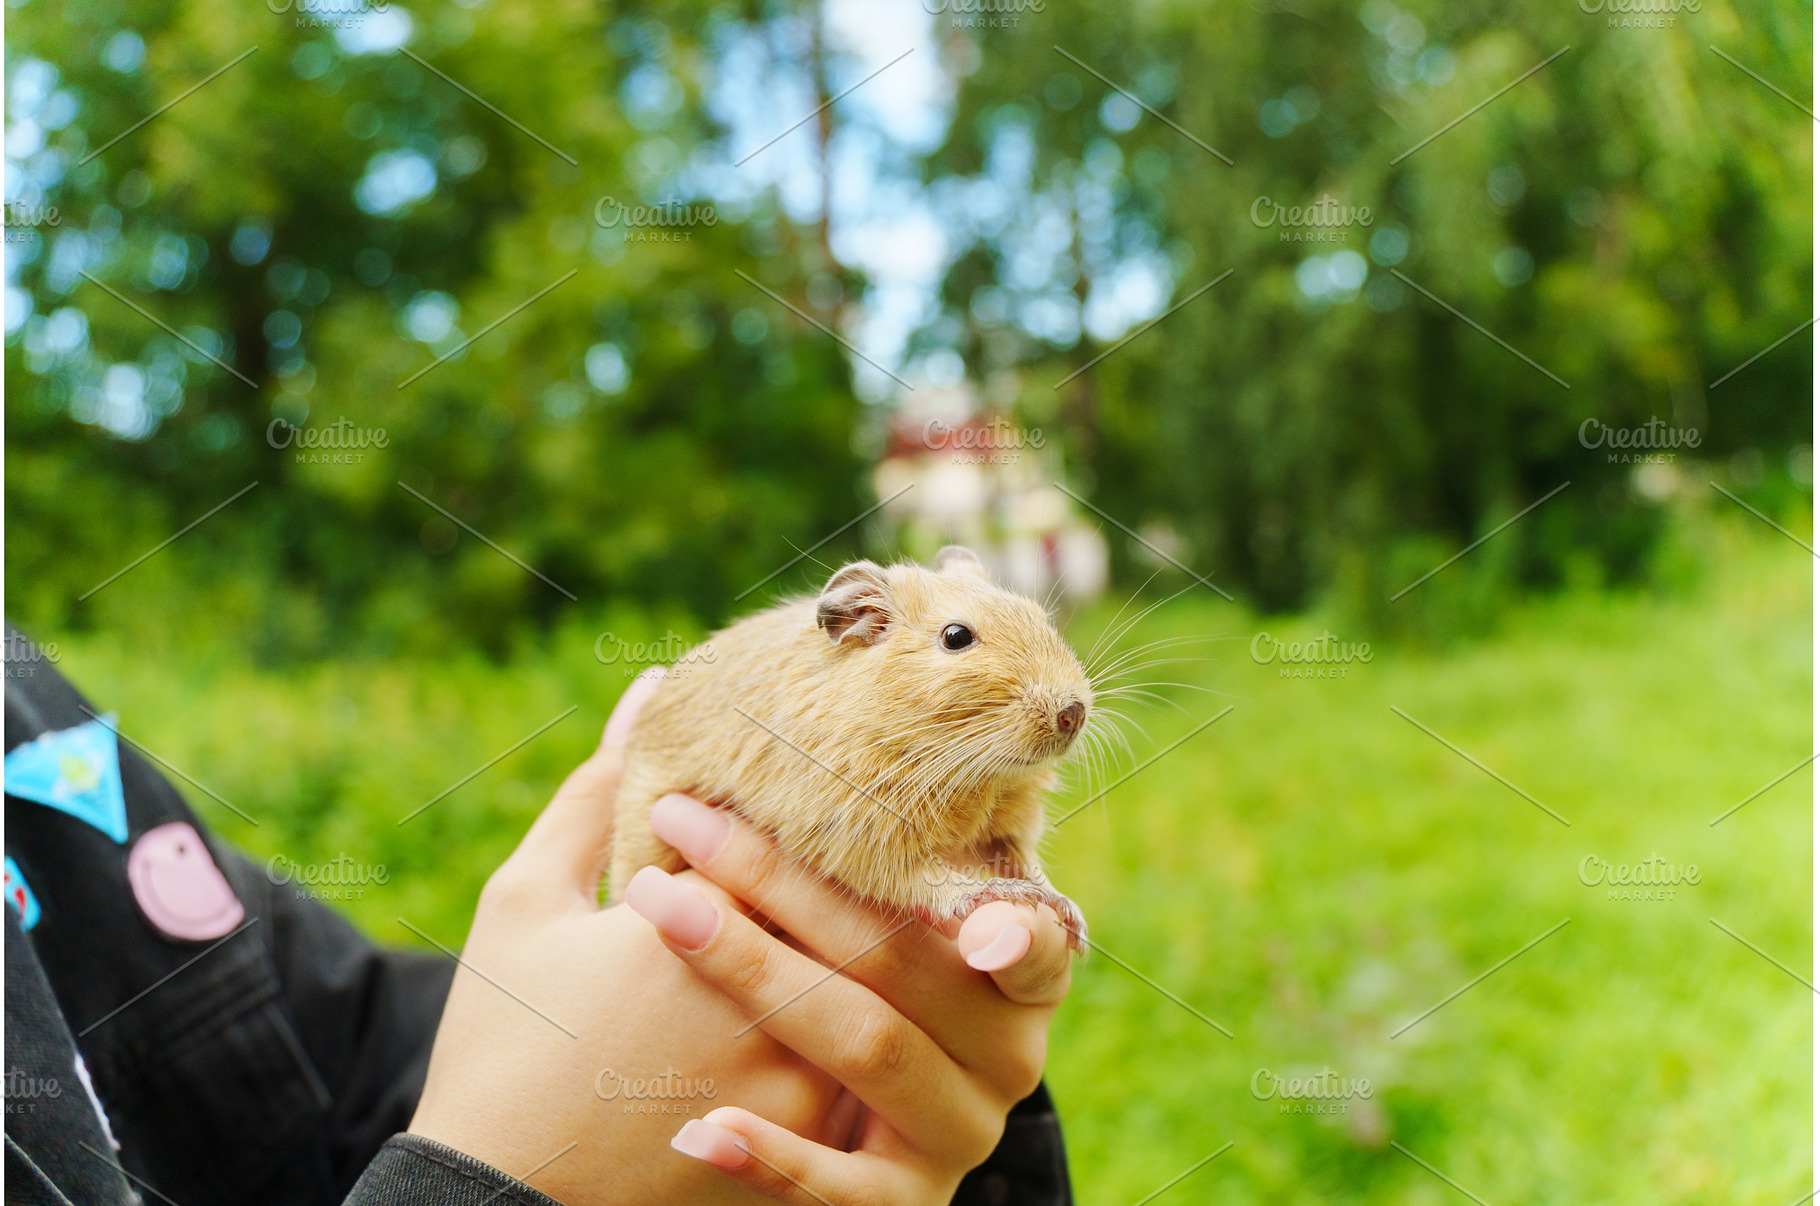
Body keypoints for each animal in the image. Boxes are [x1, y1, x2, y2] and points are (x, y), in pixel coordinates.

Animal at [610, 546, 1092, 950]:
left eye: (1040, 616)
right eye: (956, 636)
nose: (1073, 712)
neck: (974, 772)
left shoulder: (1011, 821)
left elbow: (1024, 858)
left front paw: (1070, 916)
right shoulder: (853, 834)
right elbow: (925, 881)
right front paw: (1003, 892)